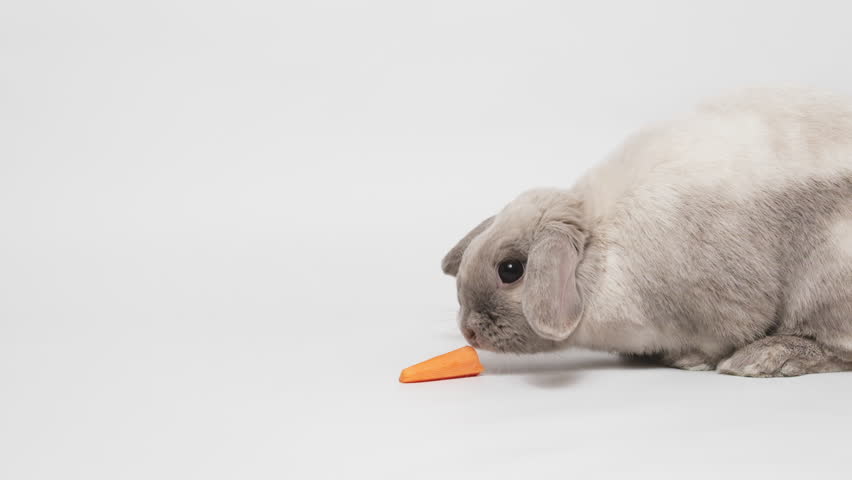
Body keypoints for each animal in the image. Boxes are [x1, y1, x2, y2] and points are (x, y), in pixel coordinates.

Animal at [442, 86, 852, 377]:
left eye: (511, 270)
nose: (469, 332)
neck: (601, 249)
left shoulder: (723, 304)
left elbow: (720, 337)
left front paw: (689, 360)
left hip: (829, 275)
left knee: (837, 348)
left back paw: (763, 359)